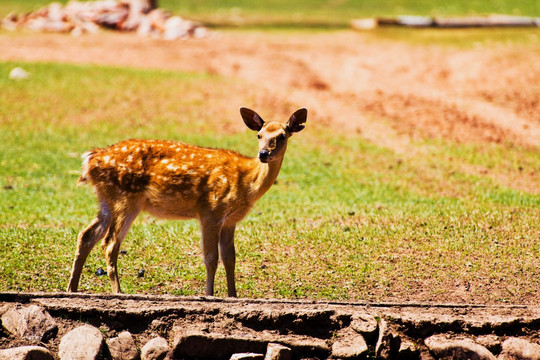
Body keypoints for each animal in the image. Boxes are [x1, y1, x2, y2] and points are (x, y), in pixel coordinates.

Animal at [66, 107, 308, 298]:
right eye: (259, 135)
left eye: (282, 136)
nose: (263, 153)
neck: (246, 183)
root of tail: (90, 160)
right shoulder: (211, 210)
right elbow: (211, 257)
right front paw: (210, 294)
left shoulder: (231, 220)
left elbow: (230, 258)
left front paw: (233, 295)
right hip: (125, 199)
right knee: (110, 243)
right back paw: (118, 291)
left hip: (106, 200)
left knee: (86, 235)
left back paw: (72, 289)